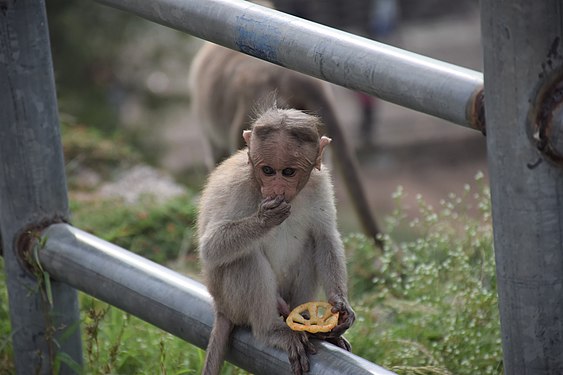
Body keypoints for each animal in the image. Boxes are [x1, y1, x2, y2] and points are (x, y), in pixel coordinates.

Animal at [198, 106, 354, 375]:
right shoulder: (238, 185)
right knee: (244, 258)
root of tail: (221, 309)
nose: (276, 189)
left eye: (288, 172)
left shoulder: (319, 181)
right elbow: (210, 249)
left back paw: (312, 327)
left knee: (311, 244)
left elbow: (325, 237)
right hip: (231, 301)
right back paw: (271, 331)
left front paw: (340, 305)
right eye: (268, 170)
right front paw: (265, 219)